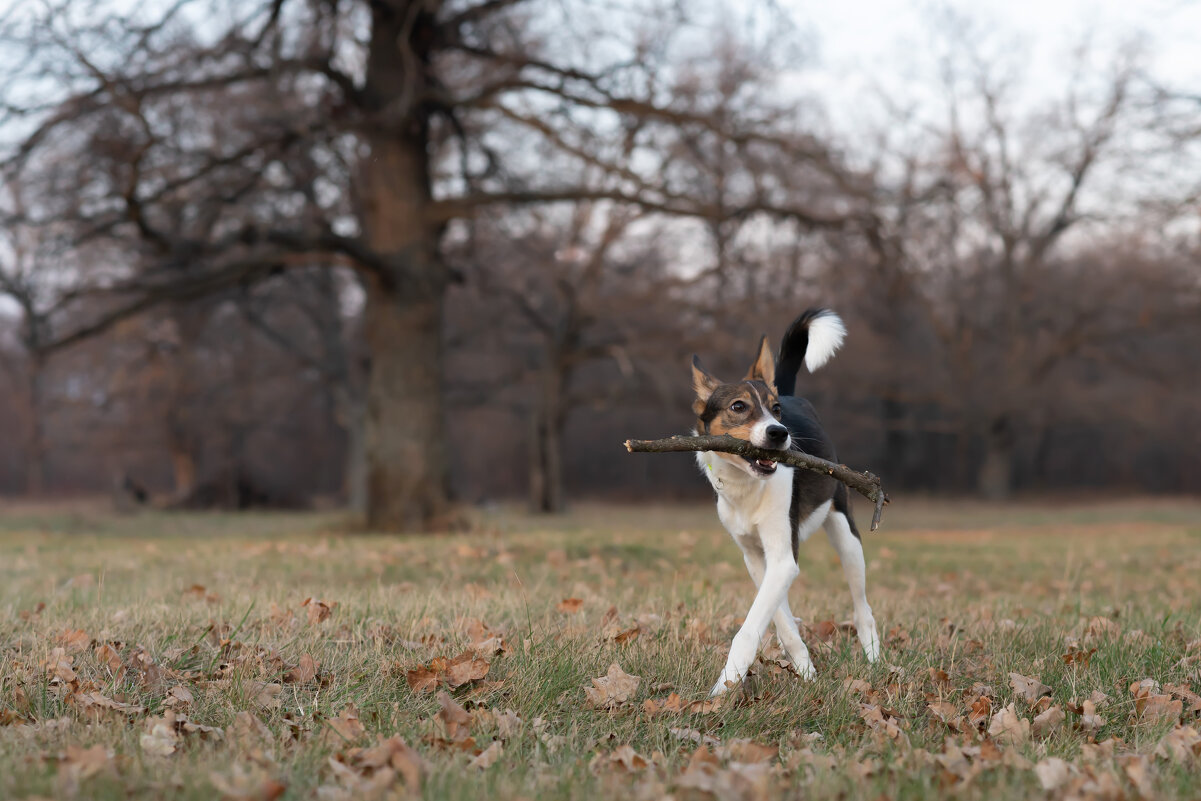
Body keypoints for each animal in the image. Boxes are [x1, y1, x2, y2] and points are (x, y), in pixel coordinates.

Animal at [691, 307, 879, 696]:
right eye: (738, 407)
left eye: (774, 409)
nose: (779, 433)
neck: (747, 485)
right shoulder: (758, 559)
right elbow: (780, 619)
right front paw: (805, 669)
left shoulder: (782, 557)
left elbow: (749, 630)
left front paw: (724, 687)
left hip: (846, 536)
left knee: (862, 606)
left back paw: (872, 655)